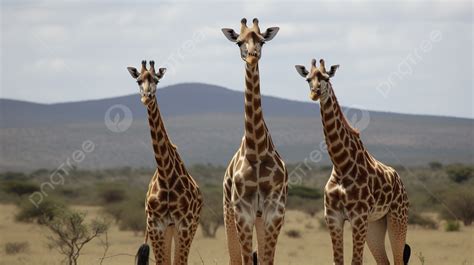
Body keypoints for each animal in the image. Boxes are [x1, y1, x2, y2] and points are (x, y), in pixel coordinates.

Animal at [127, 59, 203, 264]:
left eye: (156, 80)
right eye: (138, 80)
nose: (146, 97)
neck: (165, 175)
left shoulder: (184, 224)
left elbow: (179, 262)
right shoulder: (156, 225)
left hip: (189, 226)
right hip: (168, 228)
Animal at [220, 18, 286, 264]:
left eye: (262, 41)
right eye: (239, 41)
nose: (252, 55)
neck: (256, 151)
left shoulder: (274, 210)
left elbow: (267, 259)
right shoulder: (243, 211)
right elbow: (247, 259)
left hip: (260, 217)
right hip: (228, 211)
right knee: (234, 257)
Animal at [292, 58, 412, 262]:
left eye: (326, 78)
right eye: (308, 79)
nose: (314, 93)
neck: (341, 164)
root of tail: (399, 180)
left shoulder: (358, 218)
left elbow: (356, 261)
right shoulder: (333, 218)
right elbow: (337, 260)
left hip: (397, 217)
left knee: (398, 259)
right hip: (375, 223)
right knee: (384, 261)